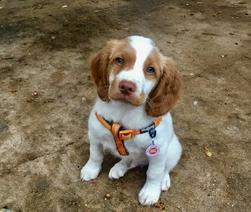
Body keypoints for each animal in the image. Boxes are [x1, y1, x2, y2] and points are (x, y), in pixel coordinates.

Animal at [81, 35, 181, 205]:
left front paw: (150, 192)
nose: (127, 86)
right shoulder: (94, 136)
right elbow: (95, 155)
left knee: (166, 167)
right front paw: (91, 169)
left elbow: (154, 172)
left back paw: (164, 180)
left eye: (150, 69)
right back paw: (119, 168)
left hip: (174, 149)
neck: (124, 111)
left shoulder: (159, 151)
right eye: (119, 60)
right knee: (130, 160)